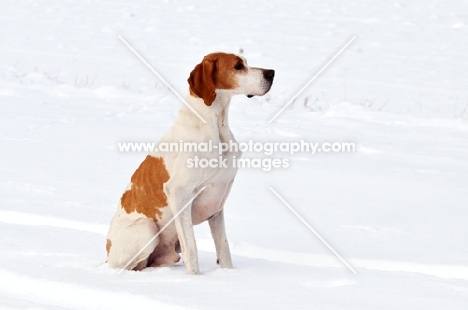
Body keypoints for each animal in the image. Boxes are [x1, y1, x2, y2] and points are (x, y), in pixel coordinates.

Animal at [106, 52, 274, 274]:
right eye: (238, 66)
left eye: (245, 62)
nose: (271, 73)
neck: (215, 125)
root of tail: (107, 254)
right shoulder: (179, 194)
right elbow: (191, 248)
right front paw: (194, 278)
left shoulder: (217, 204)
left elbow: (223, 248)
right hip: (147, 230)